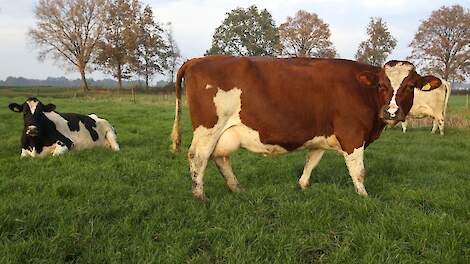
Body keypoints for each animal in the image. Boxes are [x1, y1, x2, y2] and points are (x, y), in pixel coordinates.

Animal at [171, 55, 442, 200]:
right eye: (382, 85)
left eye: (410, 86)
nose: (391, 112)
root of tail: (197, 59)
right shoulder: (352, 135)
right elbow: (358, 171)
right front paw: (364, 197)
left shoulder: (321, 134)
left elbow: (312, 161)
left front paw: (302, 185)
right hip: (208, 128)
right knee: (198, 157)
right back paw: (200, 196)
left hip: (225, 133)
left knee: (220, 158)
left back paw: (237, 189)